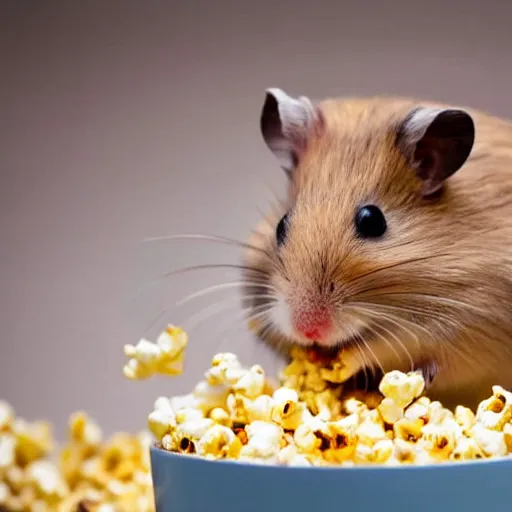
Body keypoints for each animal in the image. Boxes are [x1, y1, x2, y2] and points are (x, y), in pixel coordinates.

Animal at [241, 87, 512, 408]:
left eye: (372, 221)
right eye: (281, 225)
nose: (307, 330)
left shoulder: (466, 324)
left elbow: (383, 350)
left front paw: (339, 364)